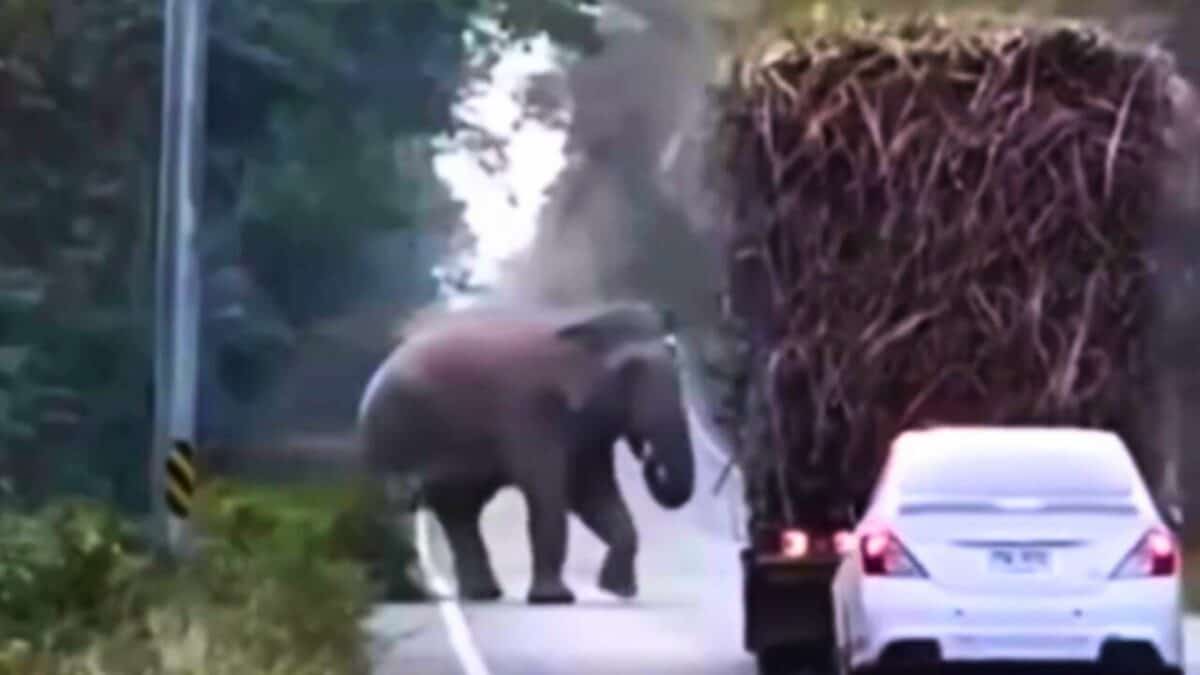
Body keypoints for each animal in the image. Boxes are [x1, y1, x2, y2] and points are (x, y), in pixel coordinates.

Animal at [355, 300, 695, 604]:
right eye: (630, 372)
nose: (647, 457)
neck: (581, 330)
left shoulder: (585, 434)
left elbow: (594, 496)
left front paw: (619, 591)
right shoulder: (529, 413)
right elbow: (549, 497)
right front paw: (554, 600)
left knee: (459, 512)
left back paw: (481, 594)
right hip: (388, 436)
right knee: (397, 507)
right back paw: (401, 593)